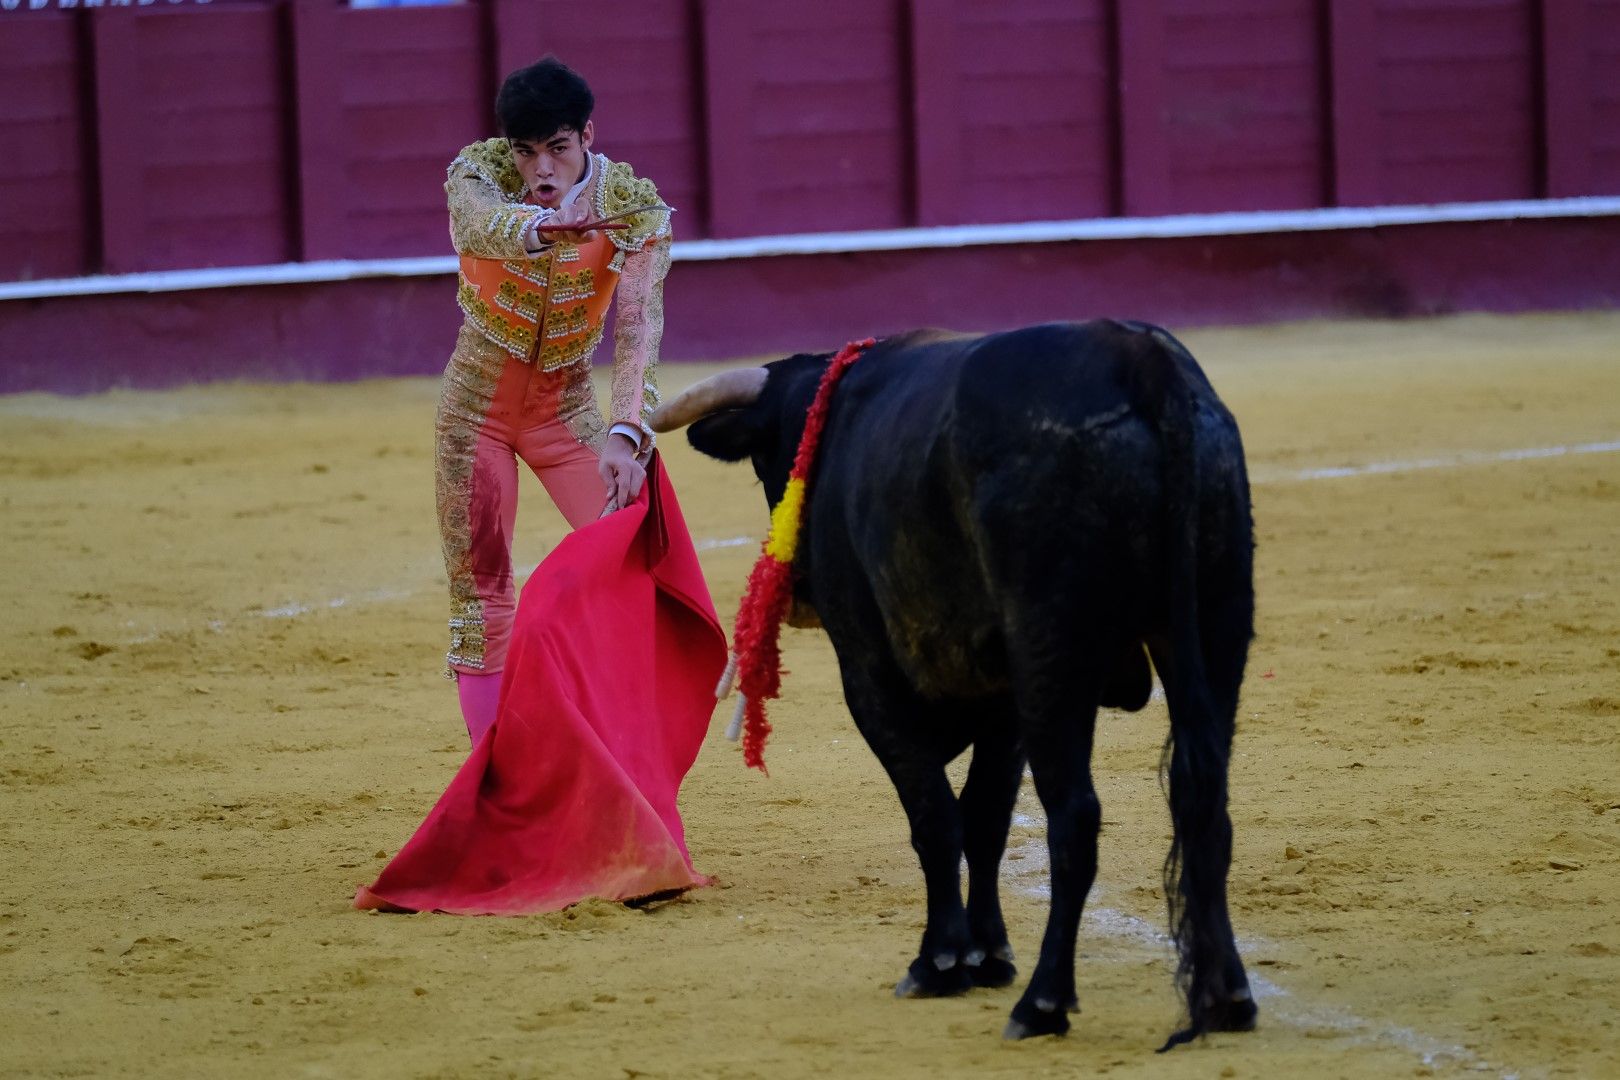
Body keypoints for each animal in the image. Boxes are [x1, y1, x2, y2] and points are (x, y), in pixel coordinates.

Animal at [651, 318, 1257, 1049]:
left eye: (778, 458)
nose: (796, 591)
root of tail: (1139, 358)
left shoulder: (872, 679)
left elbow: (935, 816)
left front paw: (940, 960)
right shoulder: (1004, 708)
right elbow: (985, 820)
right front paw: (988, 953)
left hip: (1051, 649)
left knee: (1075, 817)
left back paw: (1043, 1002)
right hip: (1217, 620)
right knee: (1206, 801)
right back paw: (1228, 997)